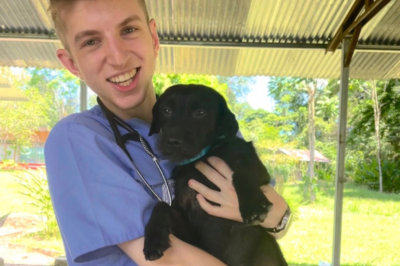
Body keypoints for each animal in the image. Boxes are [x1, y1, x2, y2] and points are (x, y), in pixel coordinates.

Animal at [144, 84, 288, 266]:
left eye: (200, 112)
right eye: (166, 110)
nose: (172, 141)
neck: (202, 156)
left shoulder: (255, 165)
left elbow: (241, 175)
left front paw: (253, 205)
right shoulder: (192, 236)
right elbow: (161, 206)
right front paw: (153, 239)